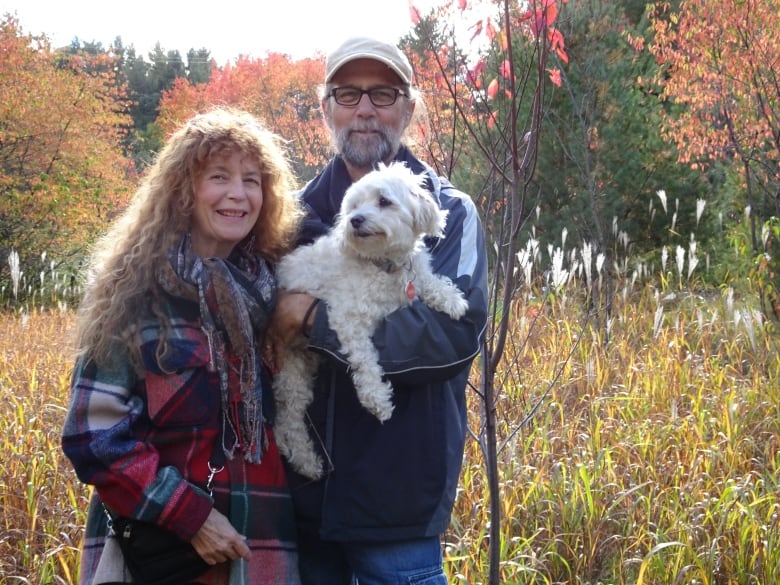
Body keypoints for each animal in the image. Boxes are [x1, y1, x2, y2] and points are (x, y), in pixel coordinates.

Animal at [274, 161, 470, 480]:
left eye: (383, 201)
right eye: (354, 205)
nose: (355, 220)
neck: (384, 264)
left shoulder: (414, 276)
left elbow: (429, 281)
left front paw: (452, 299)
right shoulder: (346, 316)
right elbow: (365, 360)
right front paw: (377, 398)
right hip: (292, 370)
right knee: (288, 420)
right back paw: (306, 460)